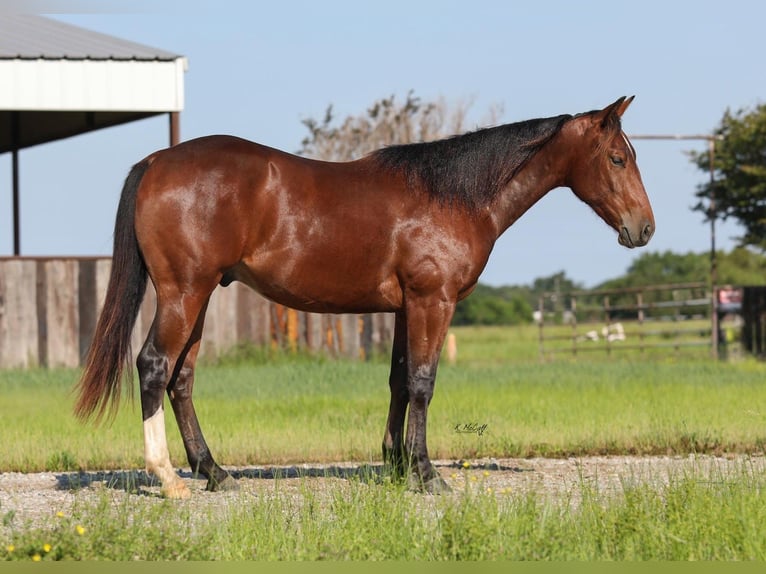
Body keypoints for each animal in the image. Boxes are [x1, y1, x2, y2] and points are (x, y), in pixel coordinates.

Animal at [75, 95, 656, 500]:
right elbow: (423, 383)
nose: (644, 228)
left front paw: (396, 466)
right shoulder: (432, 302)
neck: (453, 196)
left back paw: (215, 473)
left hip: (198, 298)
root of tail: (157, 161)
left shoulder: (404, 308)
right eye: (617, 158)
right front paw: (427, 475)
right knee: (155, 366)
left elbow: (399, 381)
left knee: (182, 379)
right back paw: (169, 480)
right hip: (184, 293)